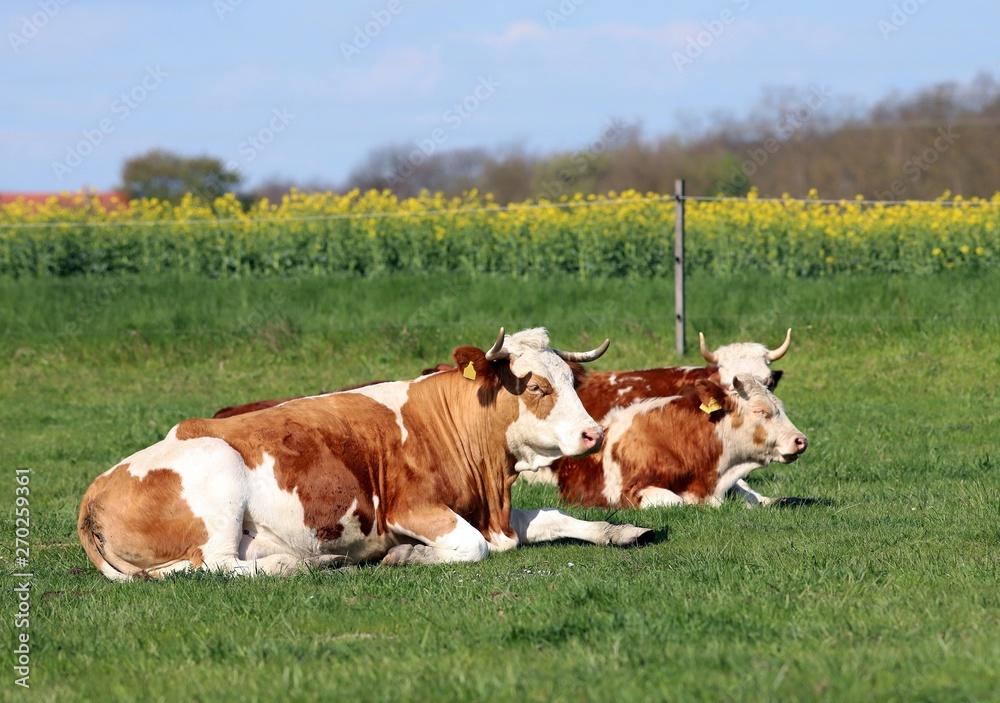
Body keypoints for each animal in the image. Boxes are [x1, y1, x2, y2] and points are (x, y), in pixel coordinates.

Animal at [77, 328, 653, 581]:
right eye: (535, 386)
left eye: (571, 379)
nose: (593, 434)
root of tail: (94, 490)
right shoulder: (412, 510)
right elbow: (473, 547)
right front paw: (405, 555)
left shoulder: (493, 511)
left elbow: (555, 517)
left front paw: (625, 531)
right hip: (218, 471)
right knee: (218, 565)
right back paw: (303, 565)